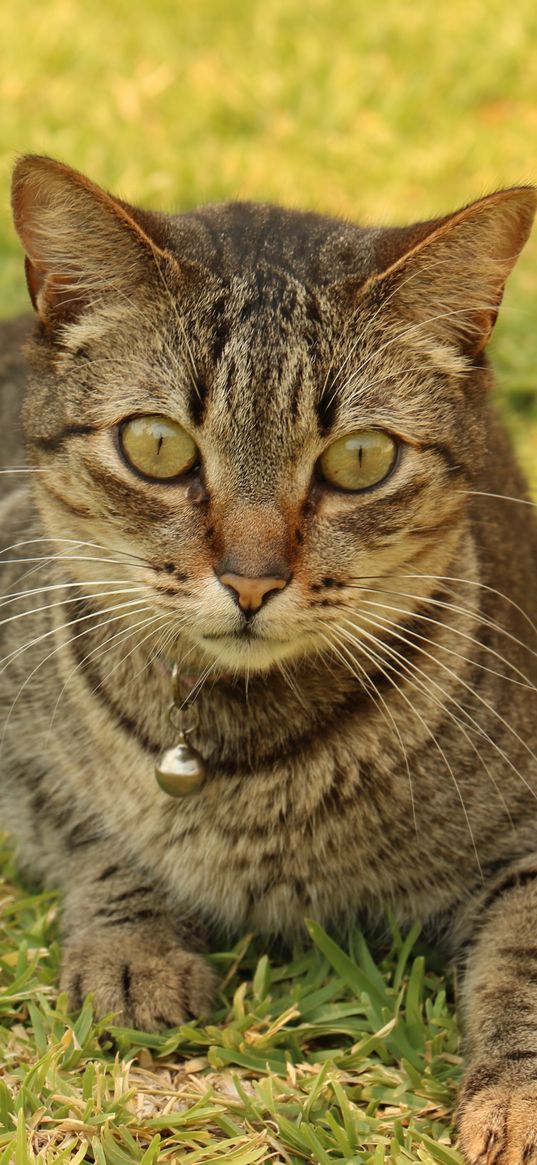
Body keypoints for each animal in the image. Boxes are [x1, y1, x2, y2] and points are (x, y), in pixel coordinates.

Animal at [1, 157, 535, 1165]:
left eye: (360, 458)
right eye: (156, 445)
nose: (251, 581)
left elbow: (522, 963)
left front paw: (517, 1099)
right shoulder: (24, 759)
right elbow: (99, 835)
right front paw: (132, 948)